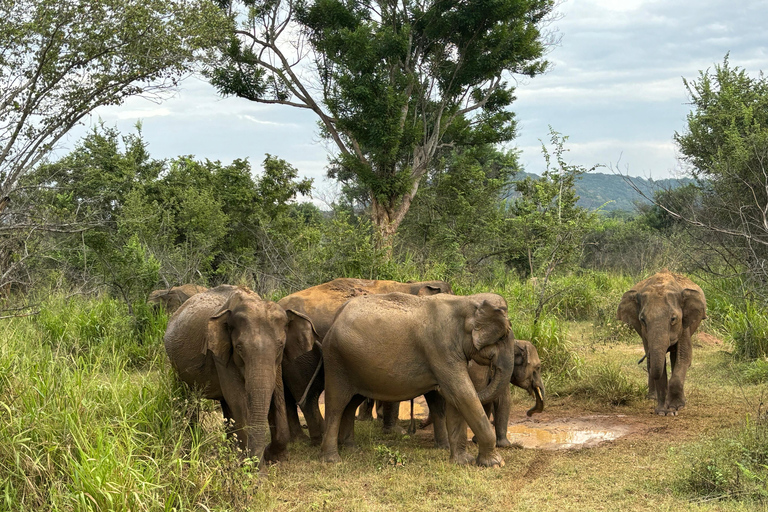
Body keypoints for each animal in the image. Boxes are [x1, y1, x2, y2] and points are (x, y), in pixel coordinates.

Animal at [164, 284, 316, 464]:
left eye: (280, 346)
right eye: (239, 348)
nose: (265, 451)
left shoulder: (277, 361)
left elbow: (277, 395)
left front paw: (273, 457)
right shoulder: (220, 354)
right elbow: (238, 399)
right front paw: (251, 466)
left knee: (225, 405)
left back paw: (229, 450)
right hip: (176, 365)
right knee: (190, 398)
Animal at [280, 276, 452, 444]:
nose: (420, 425)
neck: (417, 286)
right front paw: (396, 432)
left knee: (288, 396)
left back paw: (299, 439)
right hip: (301, 354)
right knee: (306, 396)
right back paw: (319, 438)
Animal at [320, 290, 512, 466]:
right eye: (503, 336)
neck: (466, 300)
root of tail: (337, 316)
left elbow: (456, 399)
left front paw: (462, 461)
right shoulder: (440, 349)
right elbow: (462, 393)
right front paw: (495, 463)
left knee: (351, 404)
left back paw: (351, 448)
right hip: (336, 361)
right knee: (336, 405)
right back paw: (332, 460)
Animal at [616, 272, 708, 416]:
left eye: (673, 319)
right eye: (642, 320)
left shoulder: (684, 325)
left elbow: (684, 357)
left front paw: (675, 407)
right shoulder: (645, 334)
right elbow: (659, 364)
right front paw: (663, 412)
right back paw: (652, 397)